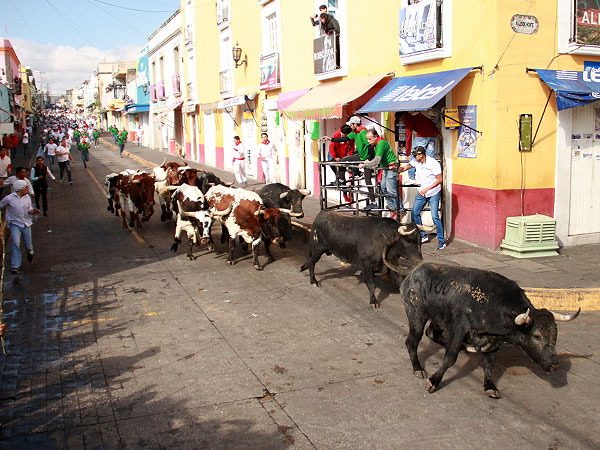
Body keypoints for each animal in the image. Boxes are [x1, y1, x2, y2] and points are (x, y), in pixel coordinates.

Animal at [298, 209, 428, 308]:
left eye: (420, 241)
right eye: (408, 241)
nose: (420, 261)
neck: (384, 239)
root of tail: (322, 213)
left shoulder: (391, 264)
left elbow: (400, 280)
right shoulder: (367, 266)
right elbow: (371, 284)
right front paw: (373, 301)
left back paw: (303, 268)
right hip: (317, 249)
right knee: (312, 263)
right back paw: (313, 281)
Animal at [398, 264, 580, 398]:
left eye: (555, 335)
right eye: (537, 336)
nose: (554, 365)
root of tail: (412, 274)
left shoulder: (493, 342)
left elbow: (489, 363)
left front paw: (490, 386)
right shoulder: (459, 329)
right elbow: (450, 358)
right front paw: (434, 381)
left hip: (438, 317)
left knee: (432, 333)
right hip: (417, 316)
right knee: (412, 341)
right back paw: (418, 368)